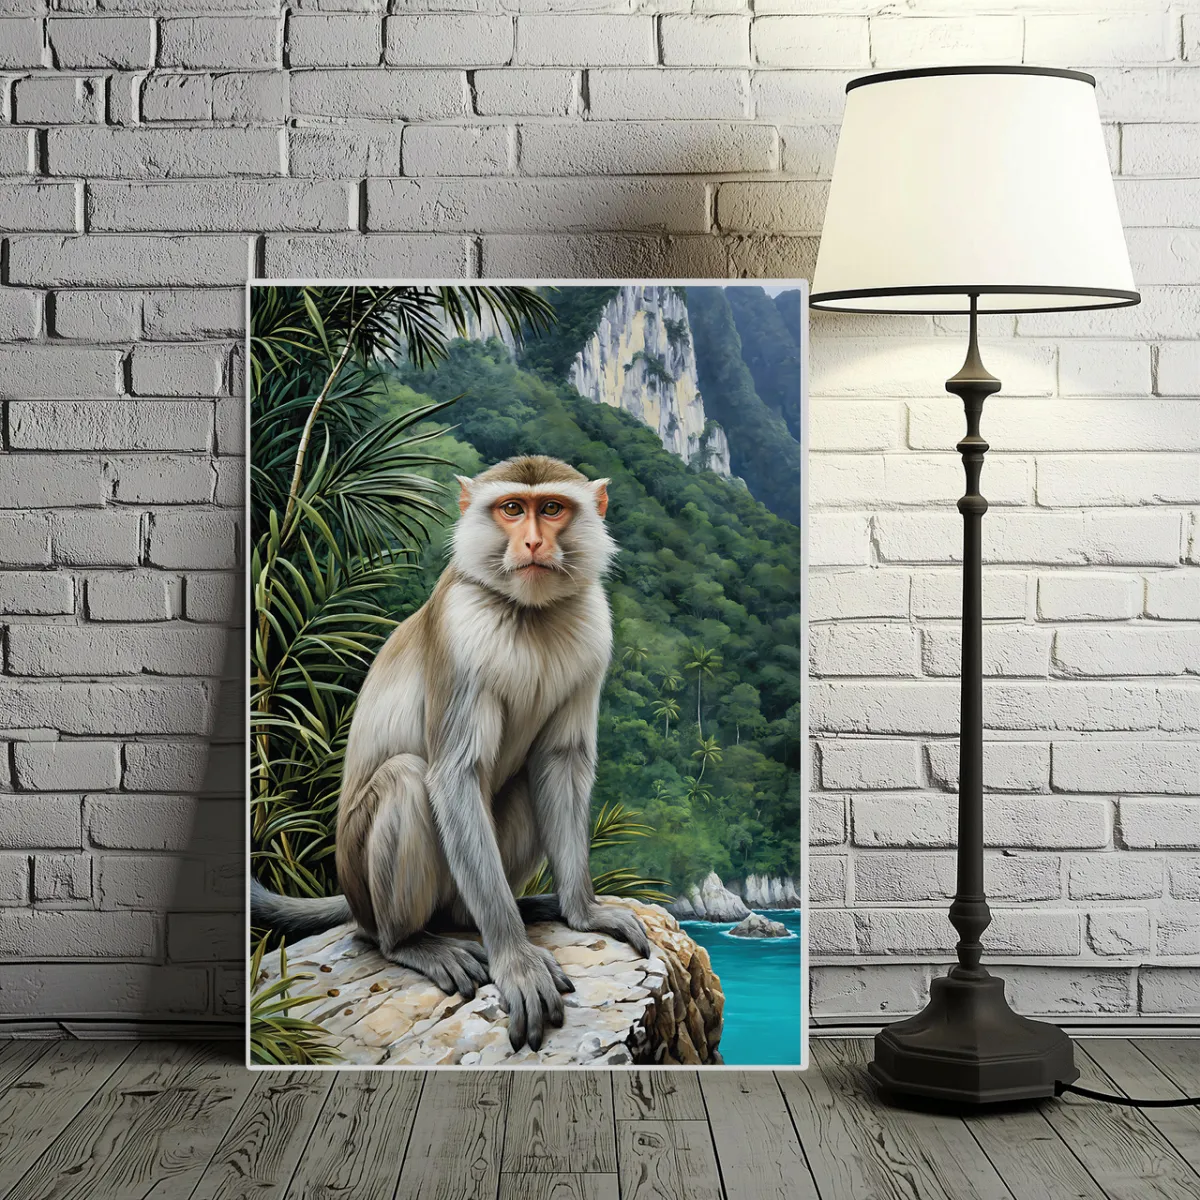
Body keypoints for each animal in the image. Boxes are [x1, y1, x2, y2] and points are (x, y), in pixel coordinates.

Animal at [252, 455, 652, 1052]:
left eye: (551, 508)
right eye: (511, 508)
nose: (532, 542)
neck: (528, 613)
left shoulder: (593, 632)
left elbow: (560, 763)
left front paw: (584, 913)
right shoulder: (460, 633)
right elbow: (455, 775)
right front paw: (516, 960)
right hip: (369, 887)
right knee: (405, 779)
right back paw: (410, 942)